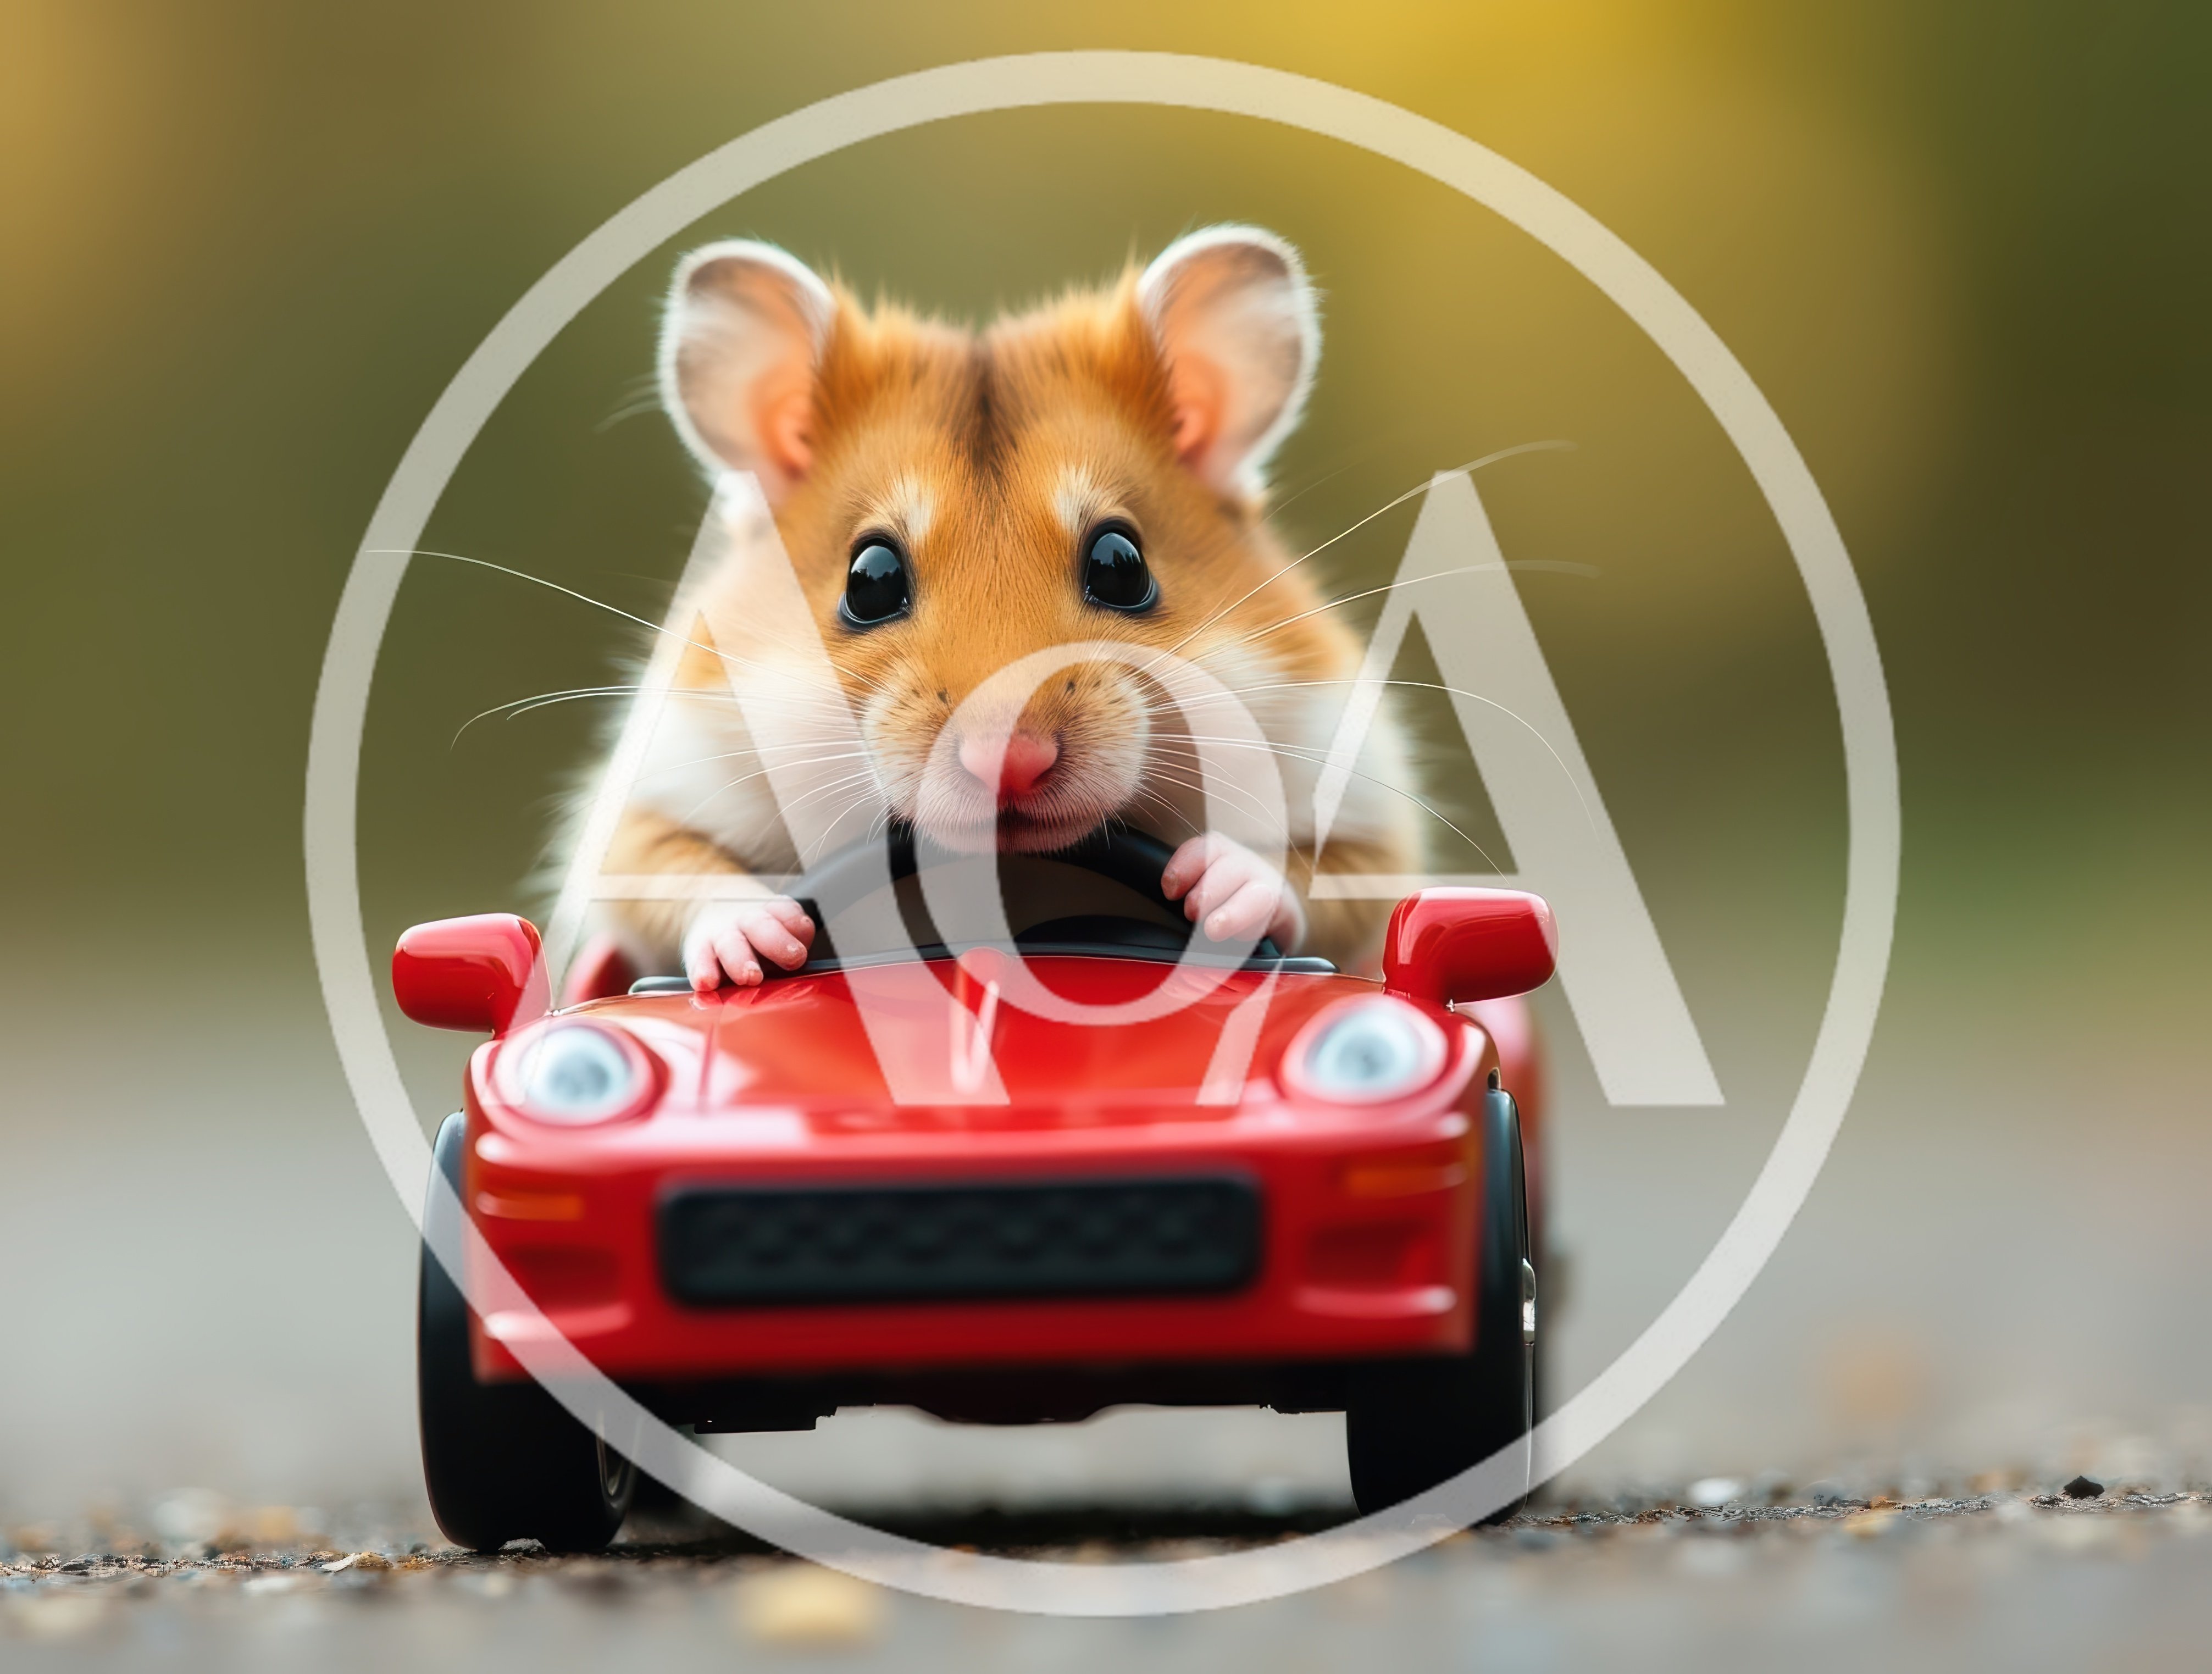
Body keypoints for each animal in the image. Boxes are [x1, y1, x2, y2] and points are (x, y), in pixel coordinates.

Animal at [584, 225, 1424, 990]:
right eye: (869, 579)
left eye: (1121, 565)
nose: (1009, 767)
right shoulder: (658, 789)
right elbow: (659, 865)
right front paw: (764, 943)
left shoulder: (1361, 799)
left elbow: (1327, 874)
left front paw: (1212, 884)